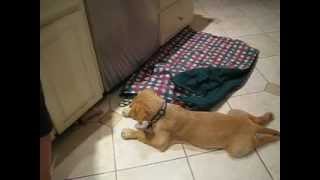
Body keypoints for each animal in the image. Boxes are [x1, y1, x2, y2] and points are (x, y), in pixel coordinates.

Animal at [121, 89, 278, 158]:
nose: (128, 108)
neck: (162, 111)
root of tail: (252, 127)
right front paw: (125, 112)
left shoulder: (159, 142)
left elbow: (143, 135)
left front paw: (129, 132)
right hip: (235, 112)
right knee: (254, 118)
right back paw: (267, 116)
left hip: (237, 149)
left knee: (260, 141)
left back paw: (273, 138)